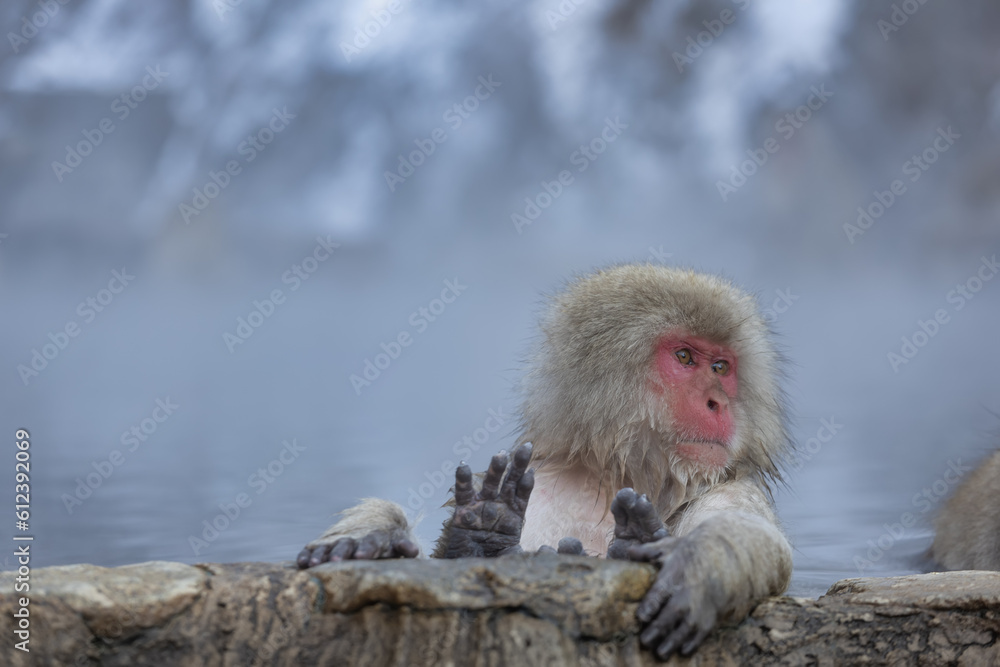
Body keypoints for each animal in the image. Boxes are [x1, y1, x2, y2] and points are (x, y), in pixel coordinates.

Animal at [298, 264, 793, 660]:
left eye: (721, 368)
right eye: (686, 357)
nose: (717, 402)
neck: (623, 471)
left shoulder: (732, 483)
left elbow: (760, 540)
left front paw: (698, 564)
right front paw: (370, 539)